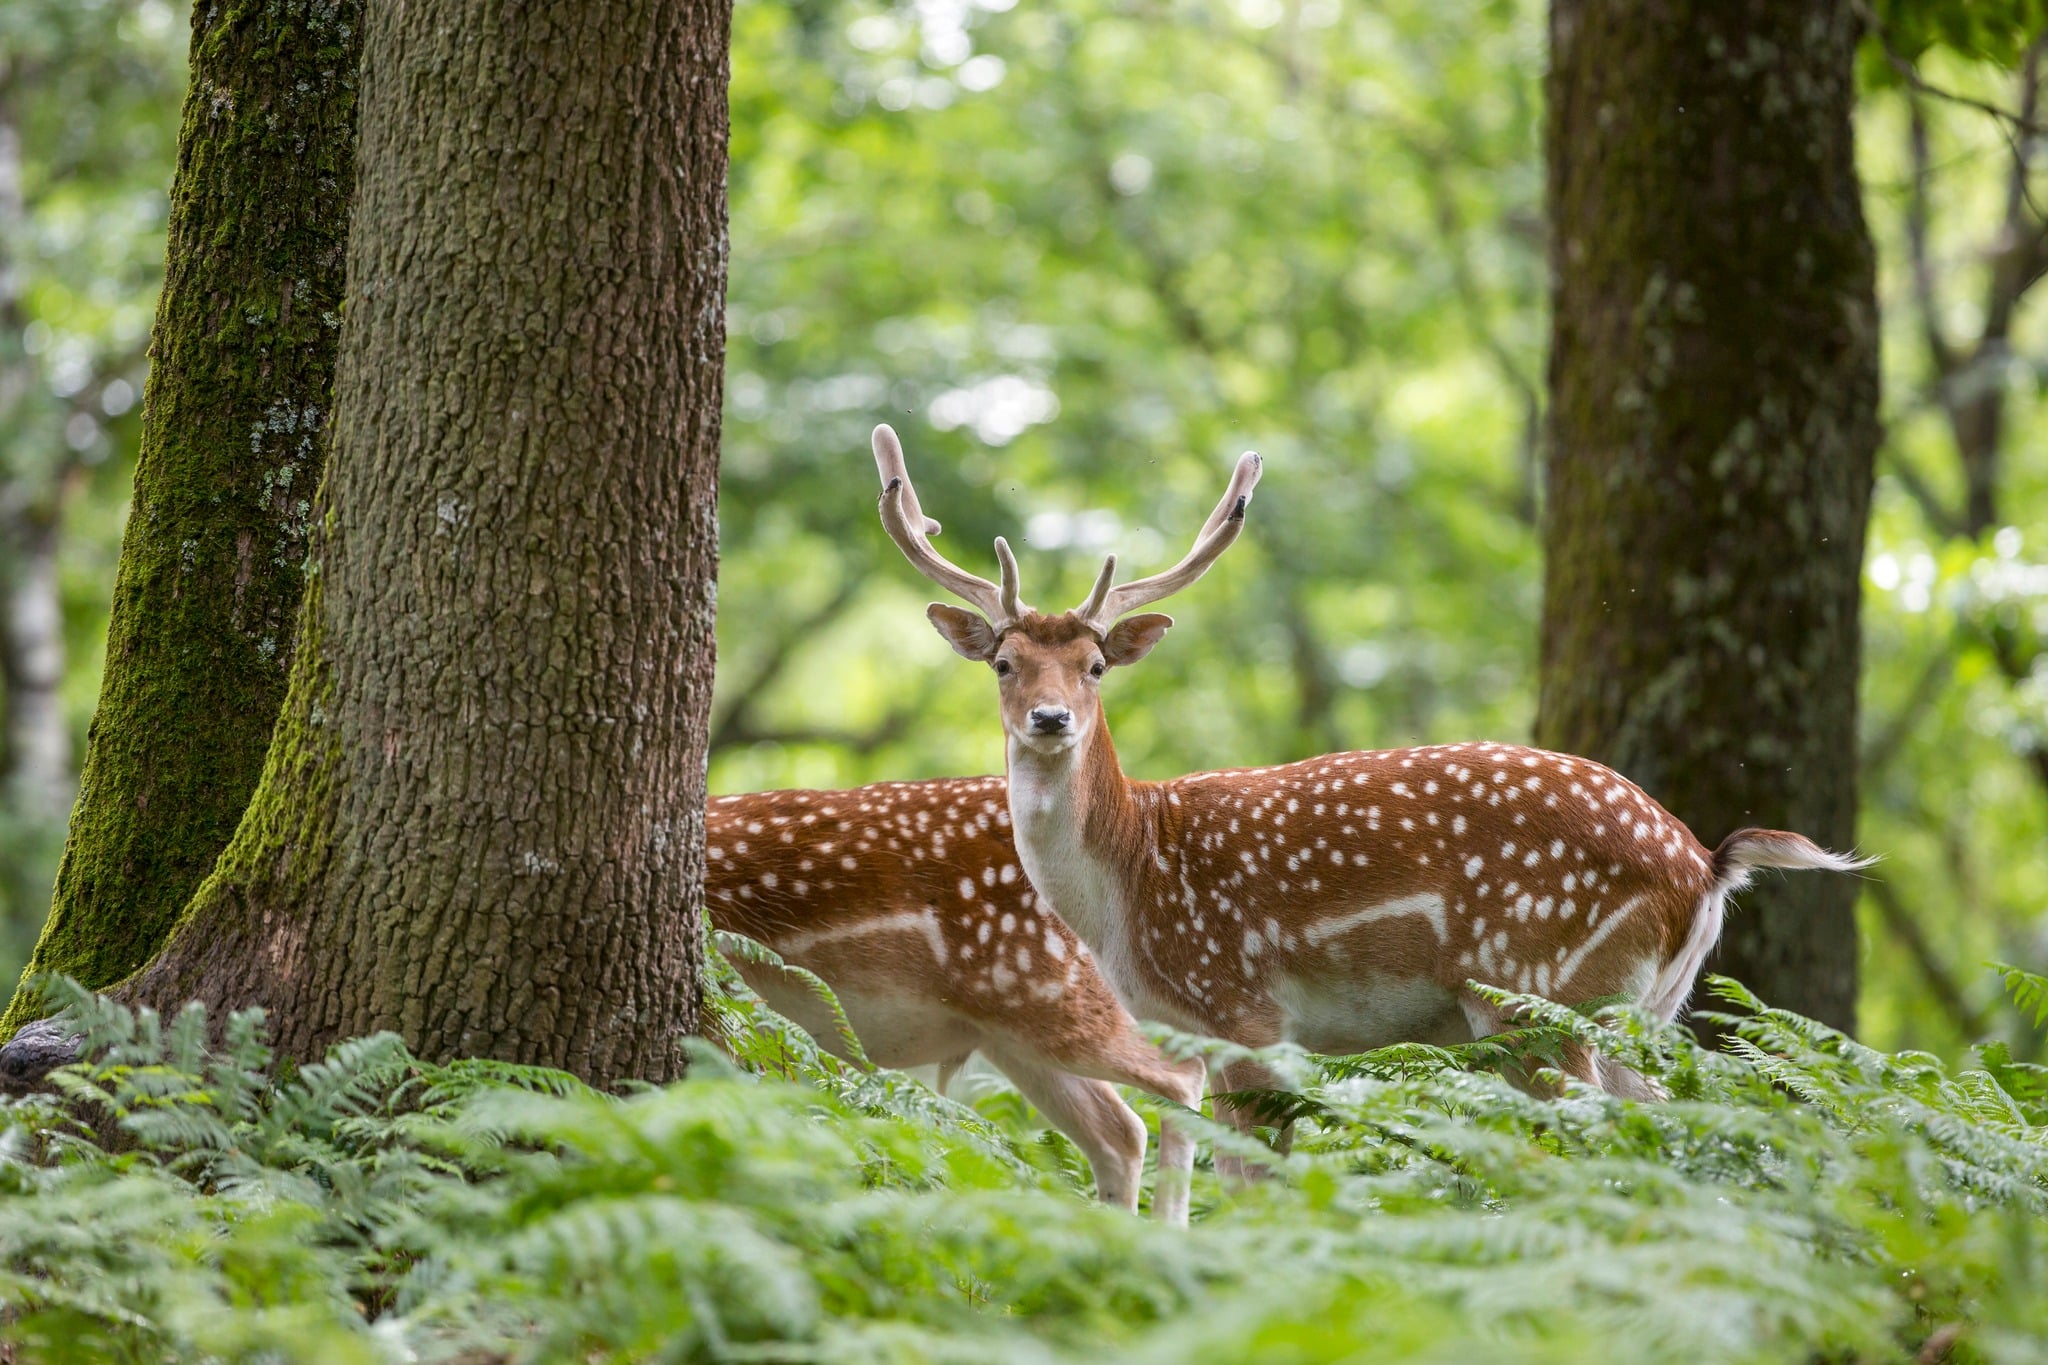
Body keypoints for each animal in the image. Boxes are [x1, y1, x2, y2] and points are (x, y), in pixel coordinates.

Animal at [864, 423, 1875, 1121]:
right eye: (1004, 662)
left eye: (1097, 665)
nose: (1050, 718)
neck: (1127, 888)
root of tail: (1705, 863)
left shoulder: (1243, 1008)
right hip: (1642, 1010)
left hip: (1544, 989)